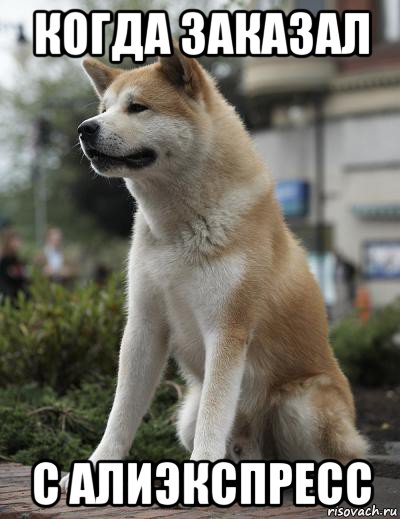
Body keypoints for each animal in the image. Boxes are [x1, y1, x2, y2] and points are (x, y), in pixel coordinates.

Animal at [59, 45, 366, 492]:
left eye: (137, 107)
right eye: (104, 108)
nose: (85, 129)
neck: (179, 228)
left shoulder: (227, 329)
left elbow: (214, 414)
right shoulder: (144, 326)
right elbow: (121, 413)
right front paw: (95, 469)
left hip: (301, 406)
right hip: (186, 415)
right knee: (242, 448)